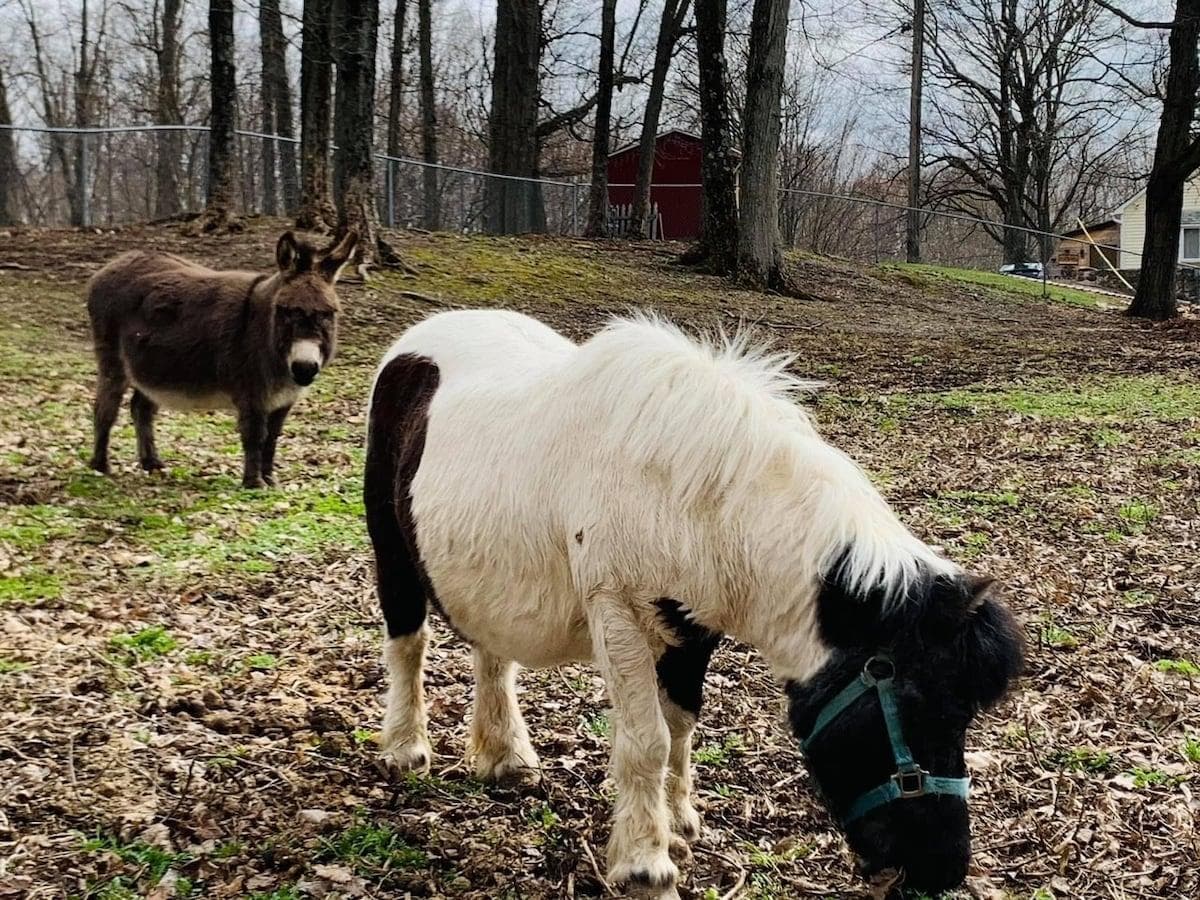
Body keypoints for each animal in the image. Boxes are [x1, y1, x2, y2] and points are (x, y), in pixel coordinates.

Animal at [87, 230, 355, 487]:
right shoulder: (250, 393)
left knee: (140, 408)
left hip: (152, 369)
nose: (304, 369)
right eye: (285, 311)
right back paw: (100, 466)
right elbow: (255, 435)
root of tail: (115, 263)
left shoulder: (284, 400)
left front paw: (271, 480)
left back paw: (152, 464)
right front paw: (254, 483)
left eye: (329, 314)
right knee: (105, 408)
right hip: (113, 359)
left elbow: (272, 438)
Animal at [362, 309, 1022, 897]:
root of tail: (419, 340)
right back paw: (405, 748)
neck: (690, 496)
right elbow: (647, 741)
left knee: (491, 652)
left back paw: (505, 757)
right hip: (393, 553)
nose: (944, 868)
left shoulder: (694, 627)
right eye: (924, 707)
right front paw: (645, 866)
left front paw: (678, 822)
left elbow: (681, 721)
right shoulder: (618, 613)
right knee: (409, 642)